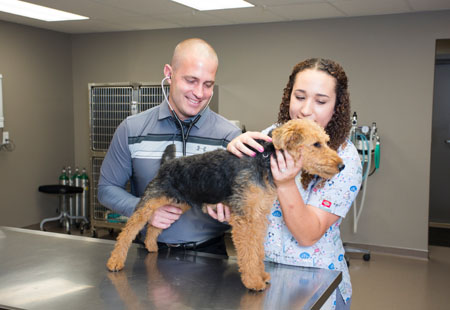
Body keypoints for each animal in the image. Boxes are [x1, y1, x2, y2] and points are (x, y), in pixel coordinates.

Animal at [106, 118, 344, 290]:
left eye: (325, 141)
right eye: (316, 144)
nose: (341, 166)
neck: (264, 161)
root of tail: (167, 163)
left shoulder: (257, 217)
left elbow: (257, 250)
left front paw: (261, 274)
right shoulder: (243, 219)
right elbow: (248, 252)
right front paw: (253, 282)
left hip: (177, 204)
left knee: (154, 227)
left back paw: (152, 246)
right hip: (150, 201)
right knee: (129, 230)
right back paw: (115, 261)